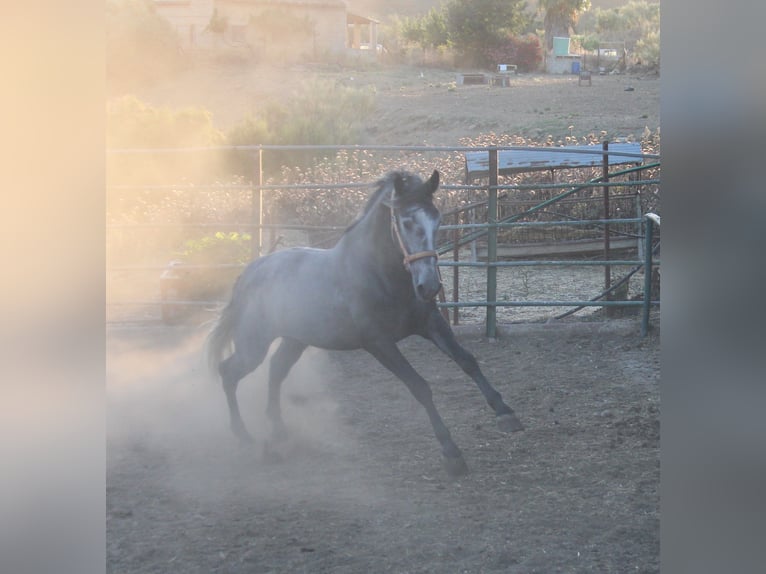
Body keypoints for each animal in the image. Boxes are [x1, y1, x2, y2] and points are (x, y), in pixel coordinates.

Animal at [207, 171, 524, 476]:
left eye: (437, 218)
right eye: (406, 221)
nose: (429, 287)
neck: (379, 275)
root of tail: (249, 272)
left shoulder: (431, 324)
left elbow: (468, 361)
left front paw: (507, 414)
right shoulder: (378, 343)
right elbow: (419, 386)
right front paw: (452, 453)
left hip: (295, 340)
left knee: (275, 371)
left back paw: (279, 431)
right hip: (253, 346)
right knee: (229, 372)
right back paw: (244, 436)